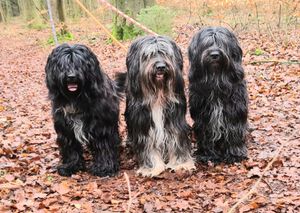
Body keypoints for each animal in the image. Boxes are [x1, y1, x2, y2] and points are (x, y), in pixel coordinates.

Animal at [45, 43, 120, 176]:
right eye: (62, 65)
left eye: (80, 64)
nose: (71, 76)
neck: (76, 99)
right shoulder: (65, 128)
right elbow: (70, 147)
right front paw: (70, 166)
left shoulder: (102, 127)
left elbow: (104, 145)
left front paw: (104, 167)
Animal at [116, 35, 196, 177]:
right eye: (148, 55)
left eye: (166, 54)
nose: (161, 67)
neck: (158, 94)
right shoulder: (143, 124)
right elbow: (148, 145)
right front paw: (152, 168)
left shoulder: (174, 119)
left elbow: (177, 139)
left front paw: (181, 164)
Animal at [188, 26, 248, 163]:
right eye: (207, 44)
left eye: (221, 43)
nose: (215, 54)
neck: (216, 81)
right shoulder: (203, 116)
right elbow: (206, 133)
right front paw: (208, 154)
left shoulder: (234, 111)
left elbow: (233, 130)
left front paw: (234, 154)